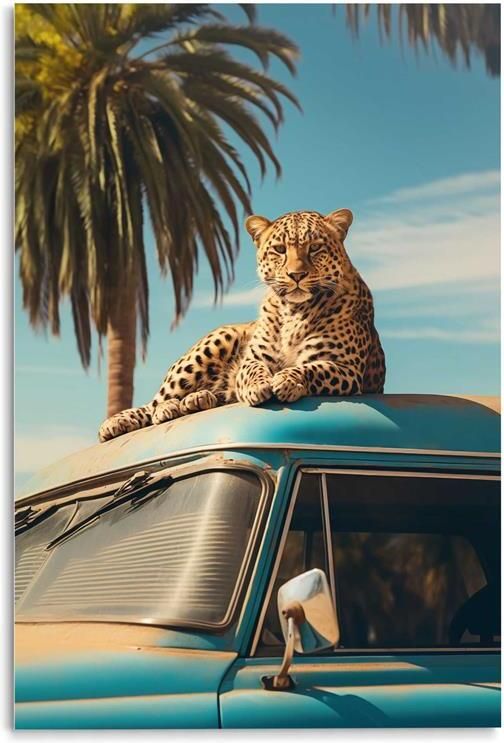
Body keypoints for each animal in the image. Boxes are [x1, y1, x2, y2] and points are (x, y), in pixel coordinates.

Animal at [98, 208, 386, 442]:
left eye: (315, 248)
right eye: (280, 249)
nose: (296, 275)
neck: (293, 311)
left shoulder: (344, 368)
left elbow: (311, 368)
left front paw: (287, 381)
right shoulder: (253, 358)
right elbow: (252, 370)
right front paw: (260, 386)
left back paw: (196, 400)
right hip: (217, 340)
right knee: (155, 403)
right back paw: (133, 417)